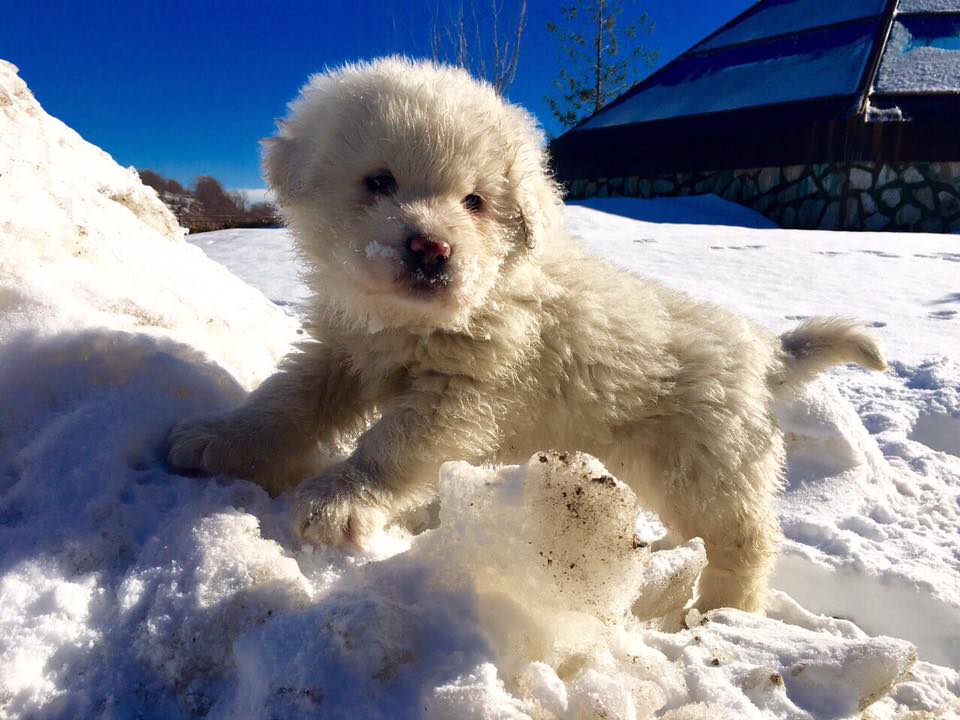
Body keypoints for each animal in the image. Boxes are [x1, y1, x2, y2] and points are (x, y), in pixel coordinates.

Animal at [165, 57, 884, 612]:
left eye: (475, 202)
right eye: (379, 181)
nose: (431, 249)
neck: (414, 324)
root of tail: (766, 350)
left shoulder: (461, 393)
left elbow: (387, 446)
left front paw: (339, 501)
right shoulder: (340, 352)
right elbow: (284, 403)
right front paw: (220, 438)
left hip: (711, 467)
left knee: (746, 541)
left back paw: (720, 613)